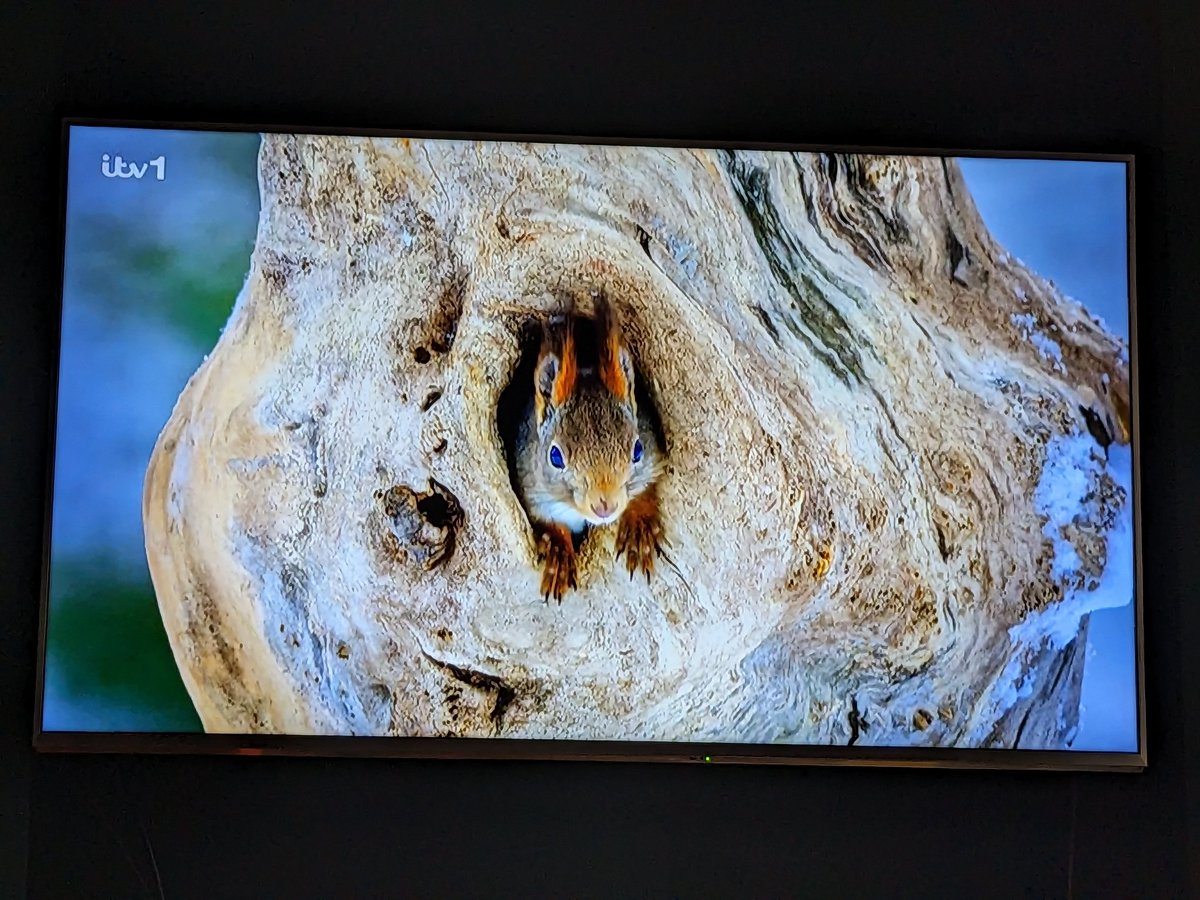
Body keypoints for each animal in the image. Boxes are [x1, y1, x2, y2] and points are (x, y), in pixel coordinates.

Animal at [514, 293, 665, 603]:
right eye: (555, 457)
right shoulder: (529, 485)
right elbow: (545, 518)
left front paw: (640, 526)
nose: (605, 505)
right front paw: (558, 551)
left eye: (637, 450)